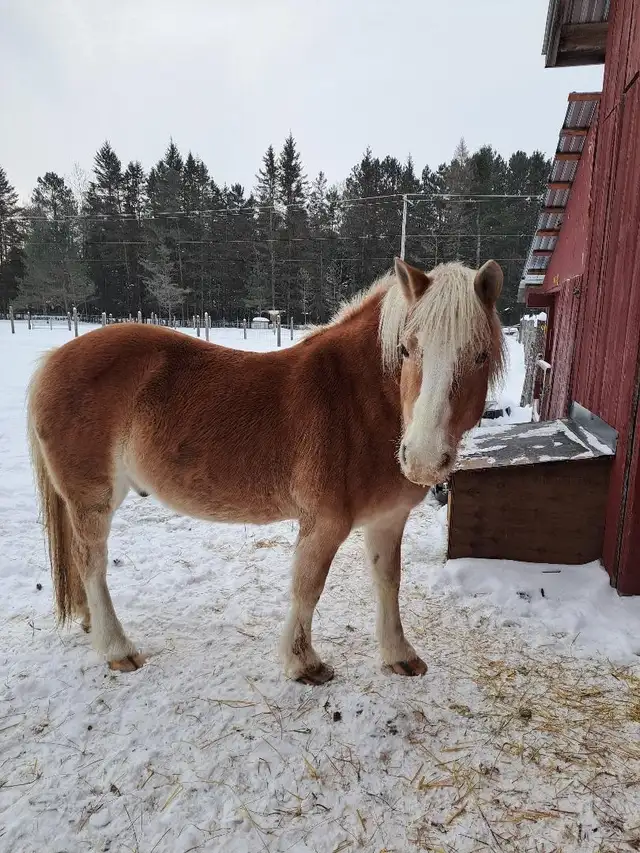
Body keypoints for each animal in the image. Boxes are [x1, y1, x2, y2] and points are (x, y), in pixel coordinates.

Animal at [27, 258, 505, 684]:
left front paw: (398, 655)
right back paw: (117, 648)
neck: (358, 401)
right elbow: (307, 587)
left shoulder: (387, 520)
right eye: (406, 348)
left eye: (480, 355)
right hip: (93, 500)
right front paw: (303, 663)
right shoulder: (324, 523)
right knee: (92, 564)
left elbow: (388, 582)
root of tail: (53, 358)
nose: (421, 458)